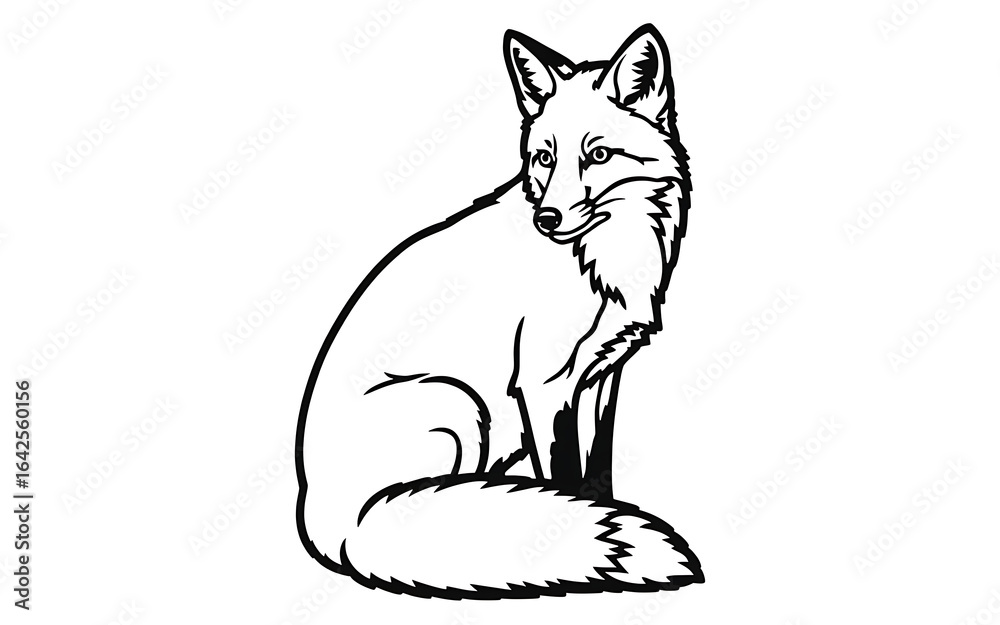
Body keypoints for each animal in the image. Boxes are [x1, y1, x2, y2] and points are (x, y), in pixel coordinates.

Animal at [295, 24, 701, 599]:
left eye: (599, 155)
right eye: (545, 157)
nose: (547, 218)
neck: (604, 264)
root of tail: (321, 512)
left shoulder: (602, 376)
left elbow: (597, 478)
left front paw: (608, 518)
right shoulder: (544, 385)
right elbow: (567, 483)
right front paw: (571, 535)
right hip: (460, 407)